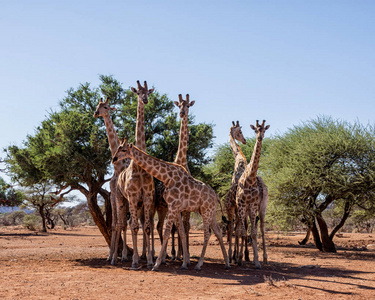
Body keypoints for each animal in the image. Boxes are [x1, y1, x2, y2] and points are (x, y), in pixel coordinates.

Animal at [111, 141, 231, 272]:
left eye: (123, 150)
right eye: (118, 149)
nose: (114, 159)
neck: (167, 177)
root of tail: (216, 196)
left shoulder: (173, 206)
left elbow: (167, 232)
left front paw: (156, 264)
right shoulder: (176, 208)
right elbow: (181, 232)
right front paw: (184, 263)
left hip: (206, 211)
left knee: (207, 233)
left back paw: (199, 265)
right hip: (211, 212)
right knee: (218, 232)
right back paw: (227, 263)